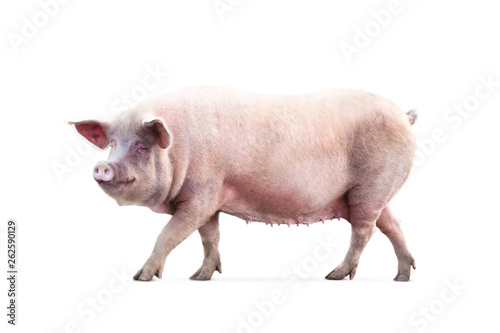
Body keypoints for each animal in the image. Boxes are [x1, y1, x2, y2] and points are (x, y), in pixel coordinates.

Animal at [71, 85, 418, 280]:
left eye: (142, 147)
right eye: (112, 144)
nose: (103, 166)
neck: (180, 150)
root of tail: (404, 116)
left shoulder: (202, 195)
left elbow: (168, 234)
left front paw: (141, 278)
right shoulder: (210, 201)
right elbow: (209, 236)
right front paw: (200, 277)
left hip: (371, 185)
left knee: (364, 230)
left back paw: (335, 276)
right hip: (375, 193)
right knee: (392, 224)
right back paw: (402, 276)